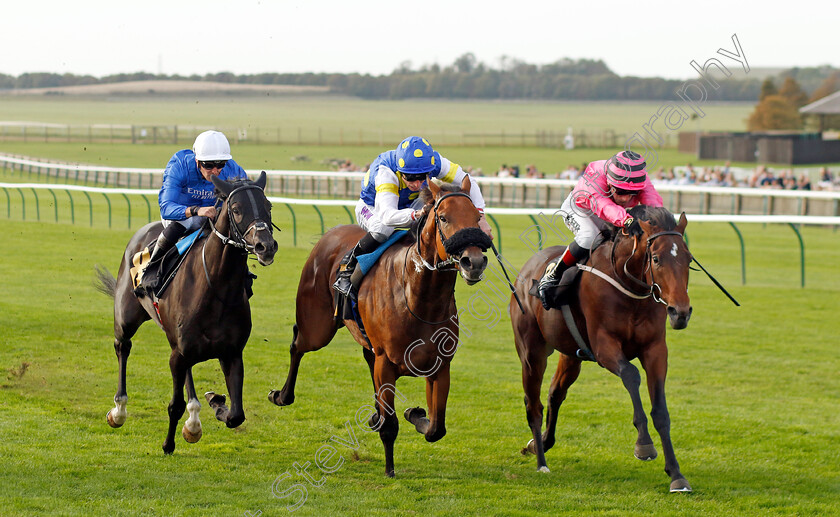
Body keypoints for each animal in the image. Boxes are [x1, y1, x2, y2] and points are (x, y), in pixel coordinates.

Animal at [94, 172, 278, 452]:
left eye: (268, 206)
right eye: (236, 209)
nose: (265, 246)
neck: (217, 288)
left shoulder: (231, 353)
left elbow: (236, 415)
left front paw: (215, 402)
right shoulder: (177, 354)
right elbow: (175, 405)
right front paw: (168, 444)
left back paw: (194, 420)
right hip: (126, 318)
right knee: (122, 347)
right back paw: (119, 411)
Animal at [270, 176, 492, 476]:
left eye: (477, 217)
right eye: (443, 218)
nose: (474, 262)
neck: (418, 298)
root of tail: (329, 235)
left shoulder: (439, 364)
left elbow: (436, 428)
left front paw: (415, 414)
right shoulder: (386, 362)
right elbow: (391, 426)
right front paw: (390, 469)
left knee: (365, 358)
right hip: (317, 328)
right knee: (297, 345)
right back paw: (282, 395)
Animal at [512, 205, 696, 492]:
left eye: (688, 260)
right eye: (655, 259)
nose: (681, 312)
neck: (630, 287)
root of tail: (528, 268)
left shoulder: (655, 350)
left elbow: (661, 412)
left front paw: (676, 474)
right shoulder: (604, 346)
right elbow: (631, 374)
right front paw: (644, 445)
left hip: (571, 355)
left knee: (555, 393)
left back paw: (540, 442)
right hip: (532, 352)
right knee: (534, 404)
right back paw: (541, 462)